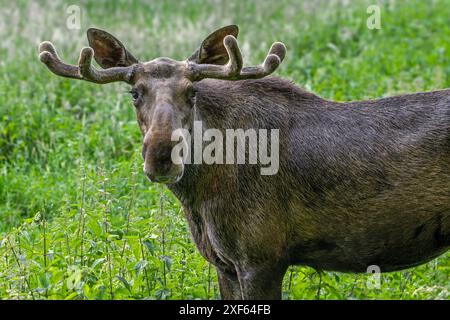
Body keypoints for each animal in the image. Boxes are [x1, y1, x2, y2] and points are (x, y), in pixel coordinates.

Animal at [39, 25, 450, 300]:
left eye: (192, 92)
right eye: (134, 93)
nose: (161, 155)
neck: (199, 197)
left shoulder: (262, 257)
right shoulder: (225, 263)